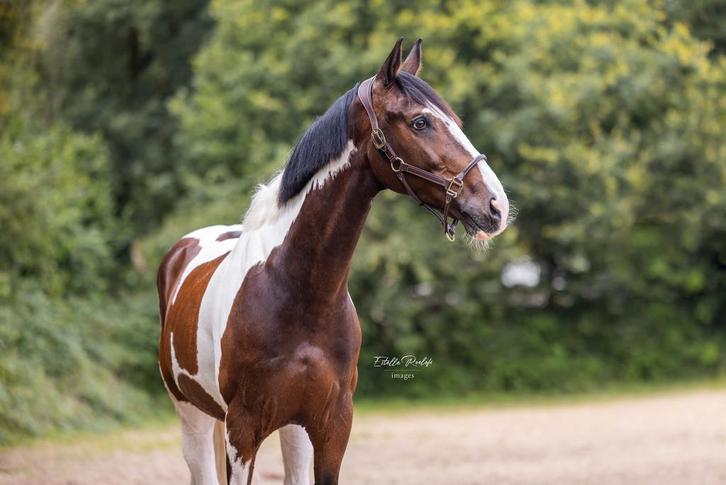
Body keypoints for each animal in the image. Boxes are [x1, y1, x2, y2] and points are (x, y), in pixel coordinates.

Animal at [157, 38, 509, 485]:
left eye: (456, 120)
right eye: (420, 123)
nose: (496, 206)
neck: (299, 292)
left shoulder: (332, 426)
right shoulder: (242, 430)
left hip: (291, 429)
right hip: (193, 416)